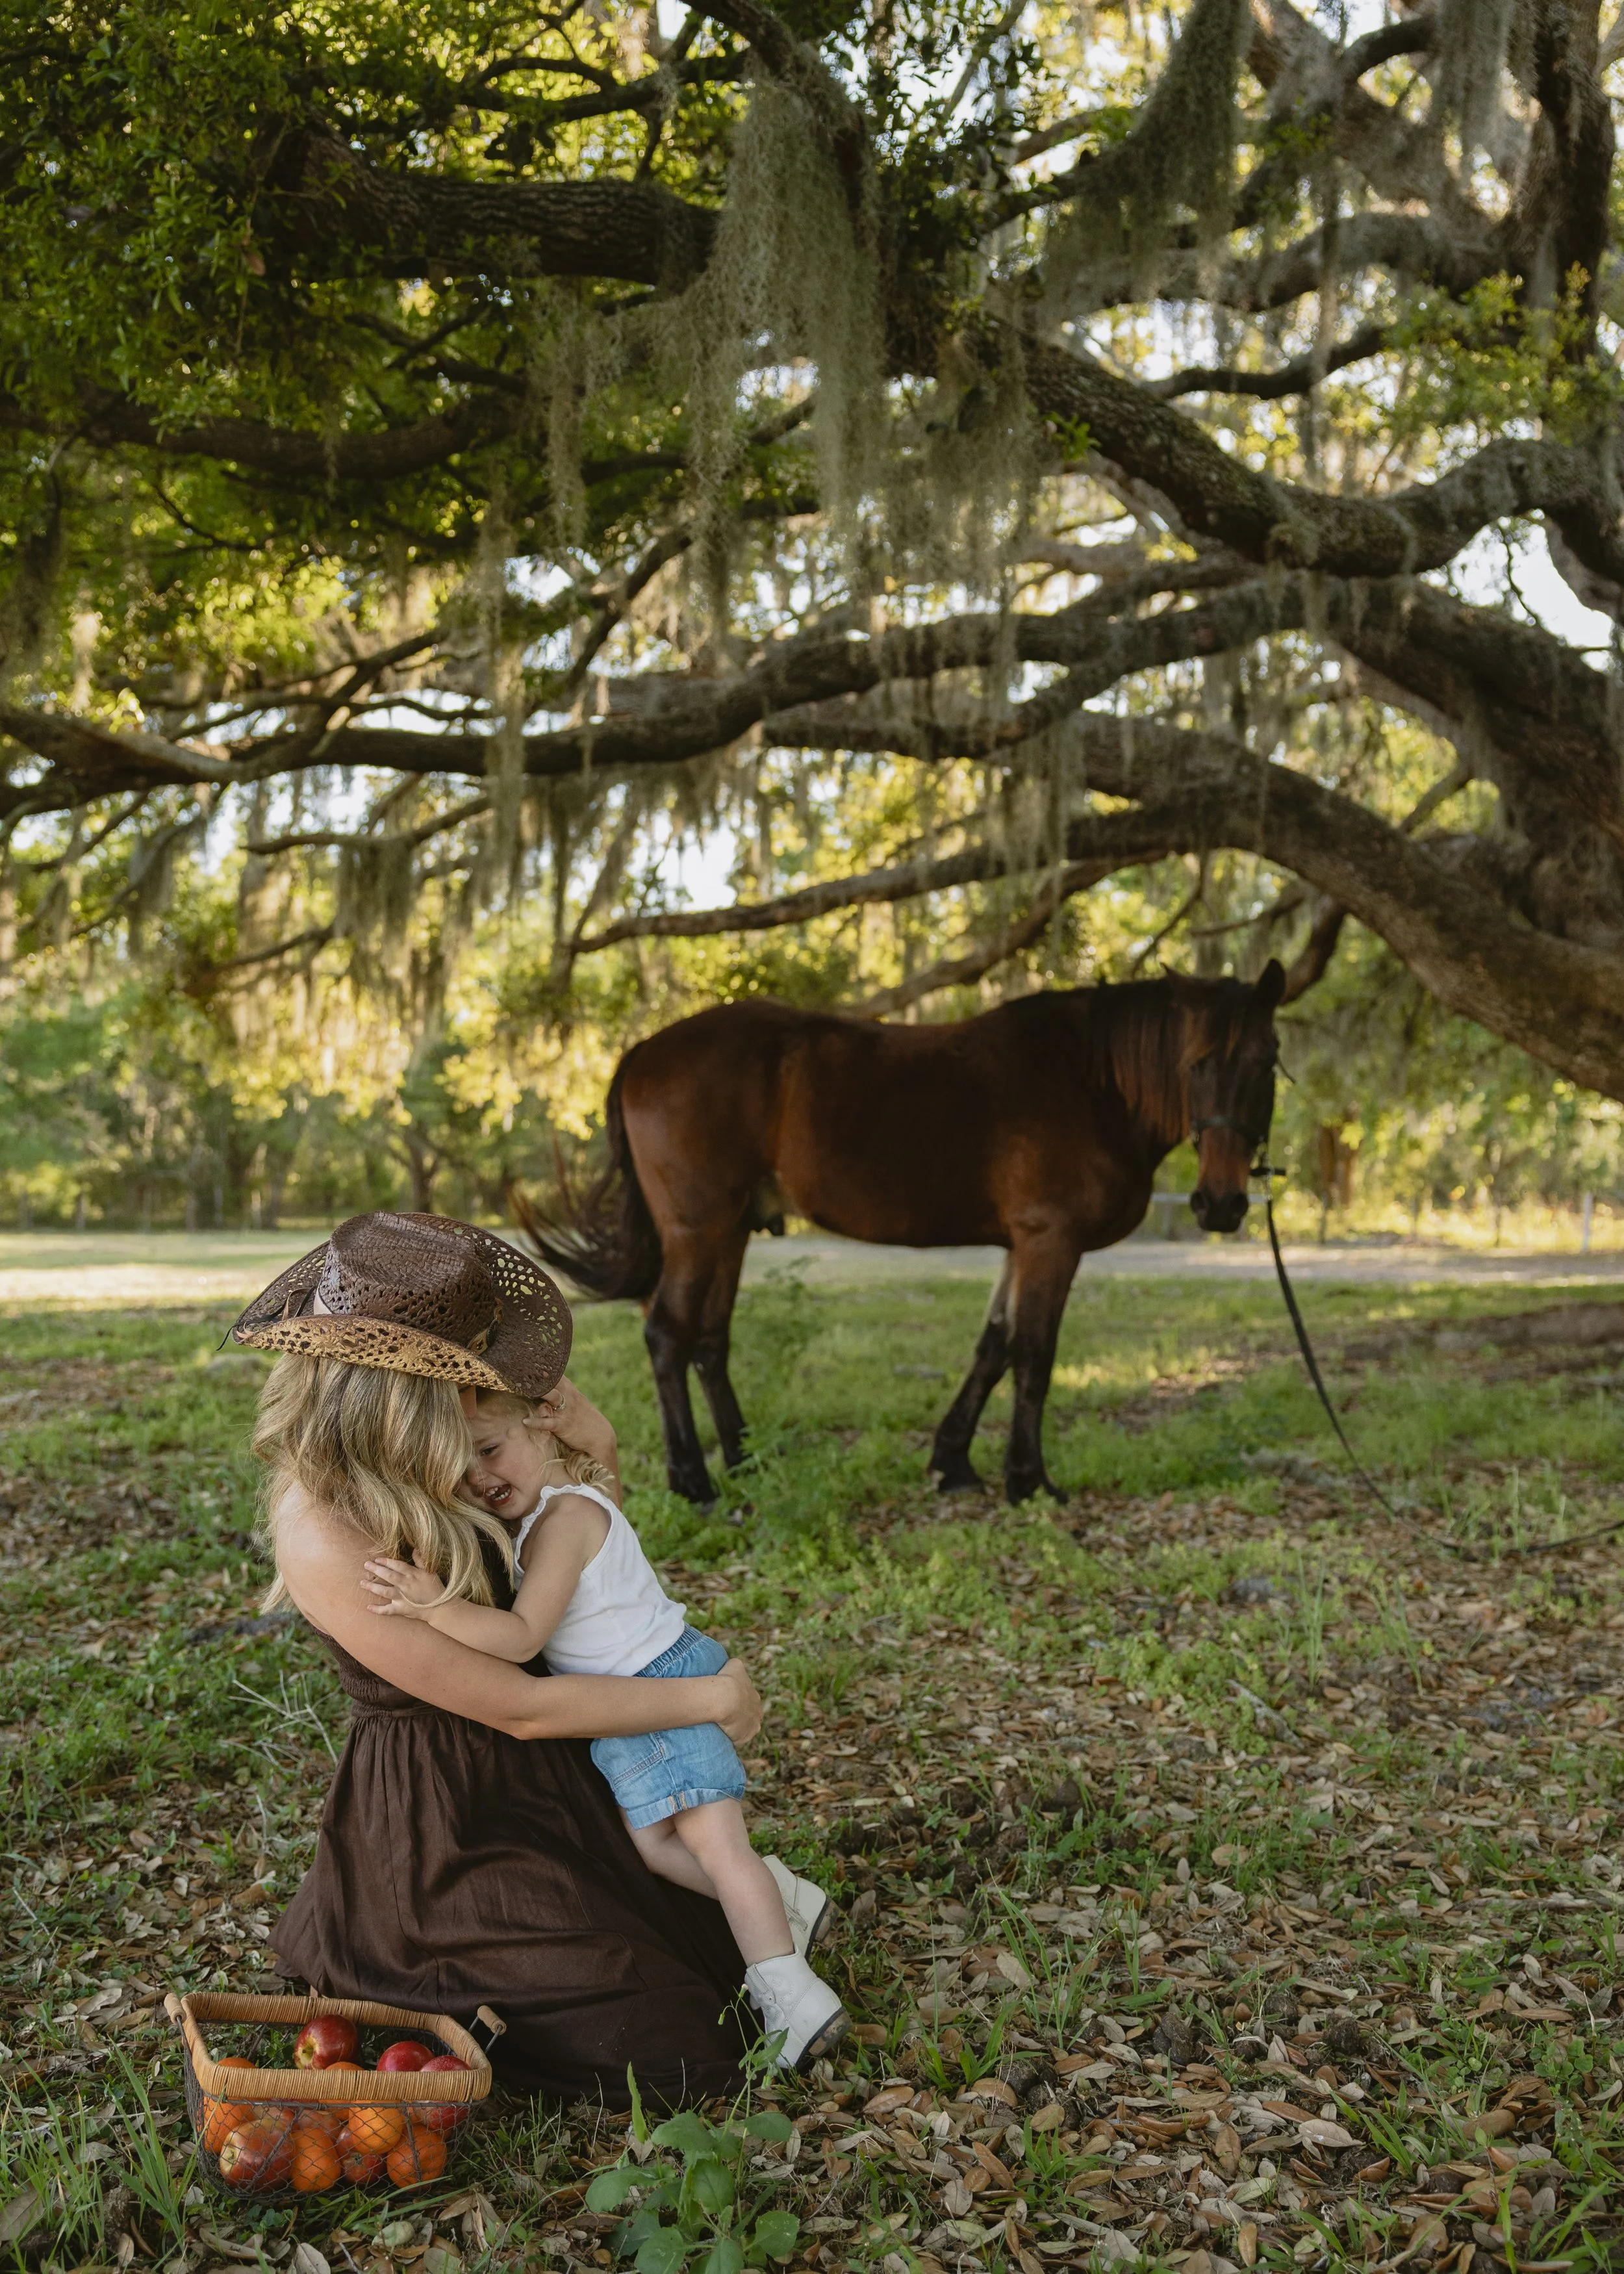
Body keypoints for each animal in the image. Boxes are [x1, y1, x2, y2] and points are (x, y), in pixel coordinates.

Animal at [518, 962, 1285, 1505]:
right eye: (1196, 1063)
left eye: (1266, 1061)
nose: (1221, 1205)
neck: (1096, 1082)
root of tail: (646, 1048)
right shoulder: (1050, 1240)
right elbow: (1034, 1357)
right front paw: (1028, 1480)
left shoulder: (1021, 1245)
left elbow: (994, 1347)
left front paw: (953, 1463)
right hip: (697, 1228)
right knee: (668, 1334)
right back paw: (694, 1480)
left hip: (731, 1230)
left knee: (709, 1339)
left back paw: (743, 1457)